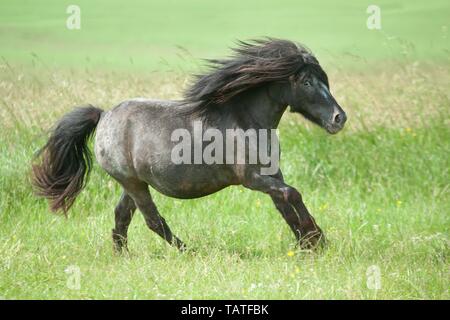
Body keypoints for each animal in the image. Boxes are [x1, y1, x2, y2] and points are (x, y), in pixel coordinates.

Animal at [32, 38, 348, 252]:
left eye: (323, 80)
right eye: (307, 82)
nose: (339, 118)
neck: (247, 121)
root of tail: (104, 115)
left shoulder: (272, 174)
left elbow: (285, 204)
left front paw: (310, 243)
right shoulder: (252, 178)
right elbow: (292, 194)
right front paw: (315, 238)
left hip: (133, 183)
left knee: (123, 216)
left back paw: (122, 255)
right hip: (132, 182)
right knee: (153, 220)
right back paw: (189, 251)